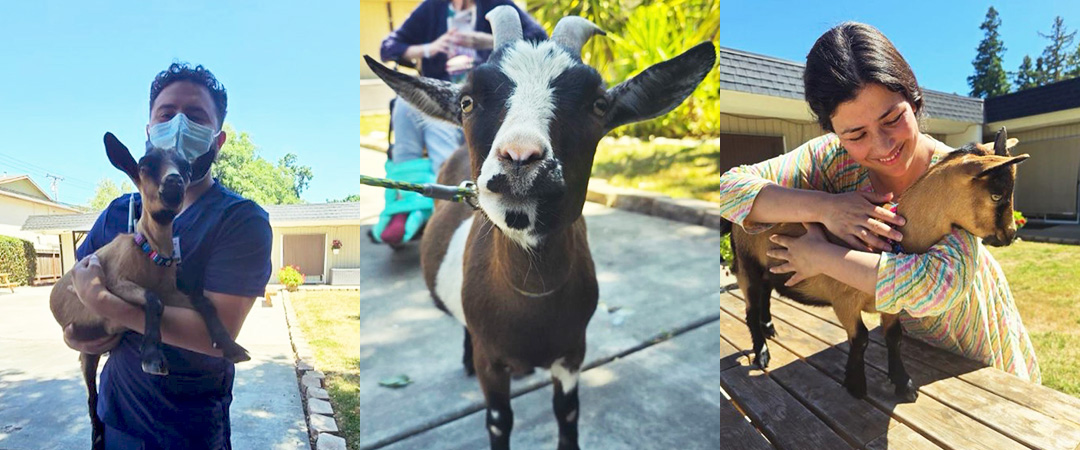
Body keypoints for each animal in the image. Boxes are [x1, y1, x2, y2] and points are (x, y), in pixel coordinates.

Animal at [365, 7, 715, 449]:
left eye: (598, 104)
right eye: (467, 101)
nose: (519, 157)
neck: (530, 298)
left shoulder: (573, 350)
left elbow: (567, 412)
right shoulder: (491, 359)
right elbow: (499, 420)